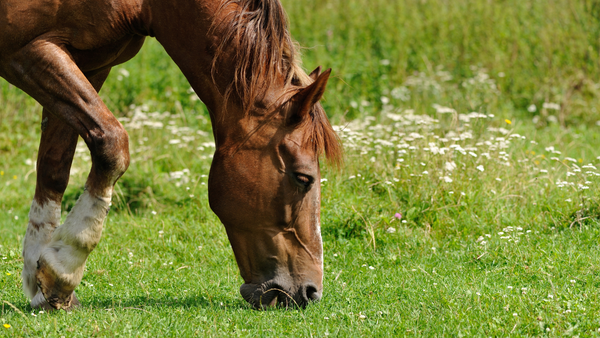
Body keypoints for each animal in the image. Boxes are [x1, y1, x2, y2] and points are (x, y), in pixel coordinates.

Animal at [0, 0, 340, 310]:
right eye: (303, 178)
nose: (310, 292)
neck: (147, 6)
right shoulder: (28, 50)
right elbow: (112, 144)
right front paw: (64, 270)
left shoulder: (89, 64)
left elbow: (54, 168)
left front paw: (41, 280)